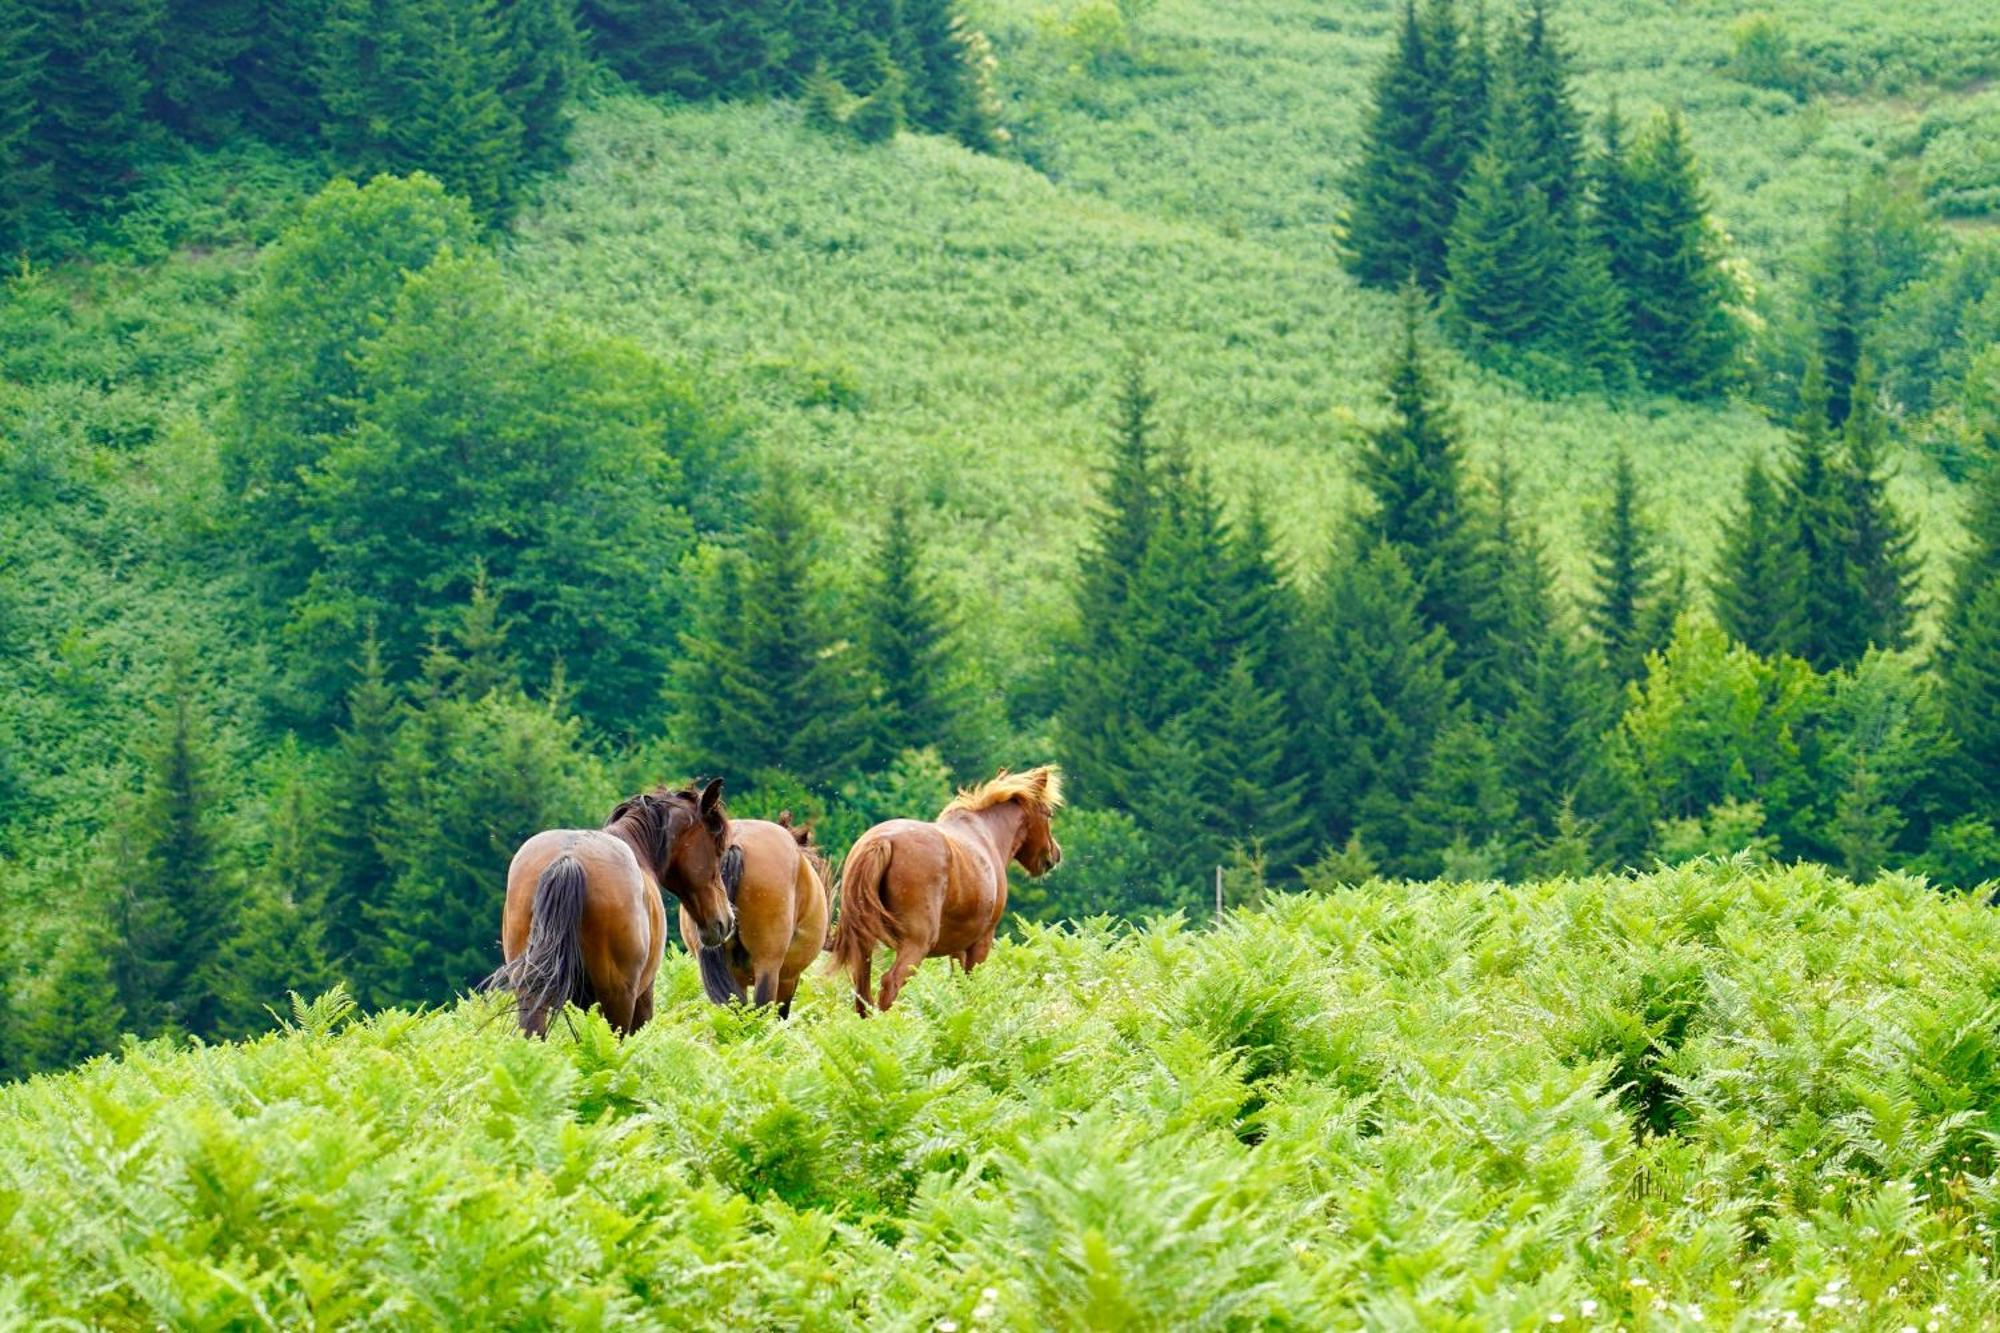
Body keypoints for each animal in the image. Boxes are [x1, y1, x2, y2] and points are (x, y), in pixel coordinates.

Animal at [488, 780, 740, 1040]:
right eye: (718, 849)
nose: (726, 921)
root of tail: (568, 859)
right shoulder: (643, 996)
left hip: (532, 996)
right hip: (617, 999)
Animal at [824, 764, 1064, 1012]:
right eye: (1048, 814)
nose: (1055, 854)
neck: (986, 835)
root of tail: (882, 841)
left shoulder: (957, 947)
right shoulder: (981, 941)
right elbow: (972, 986)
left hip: (863, 945)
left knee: (862, 994)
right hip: (915, 944)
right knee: (890, 983)